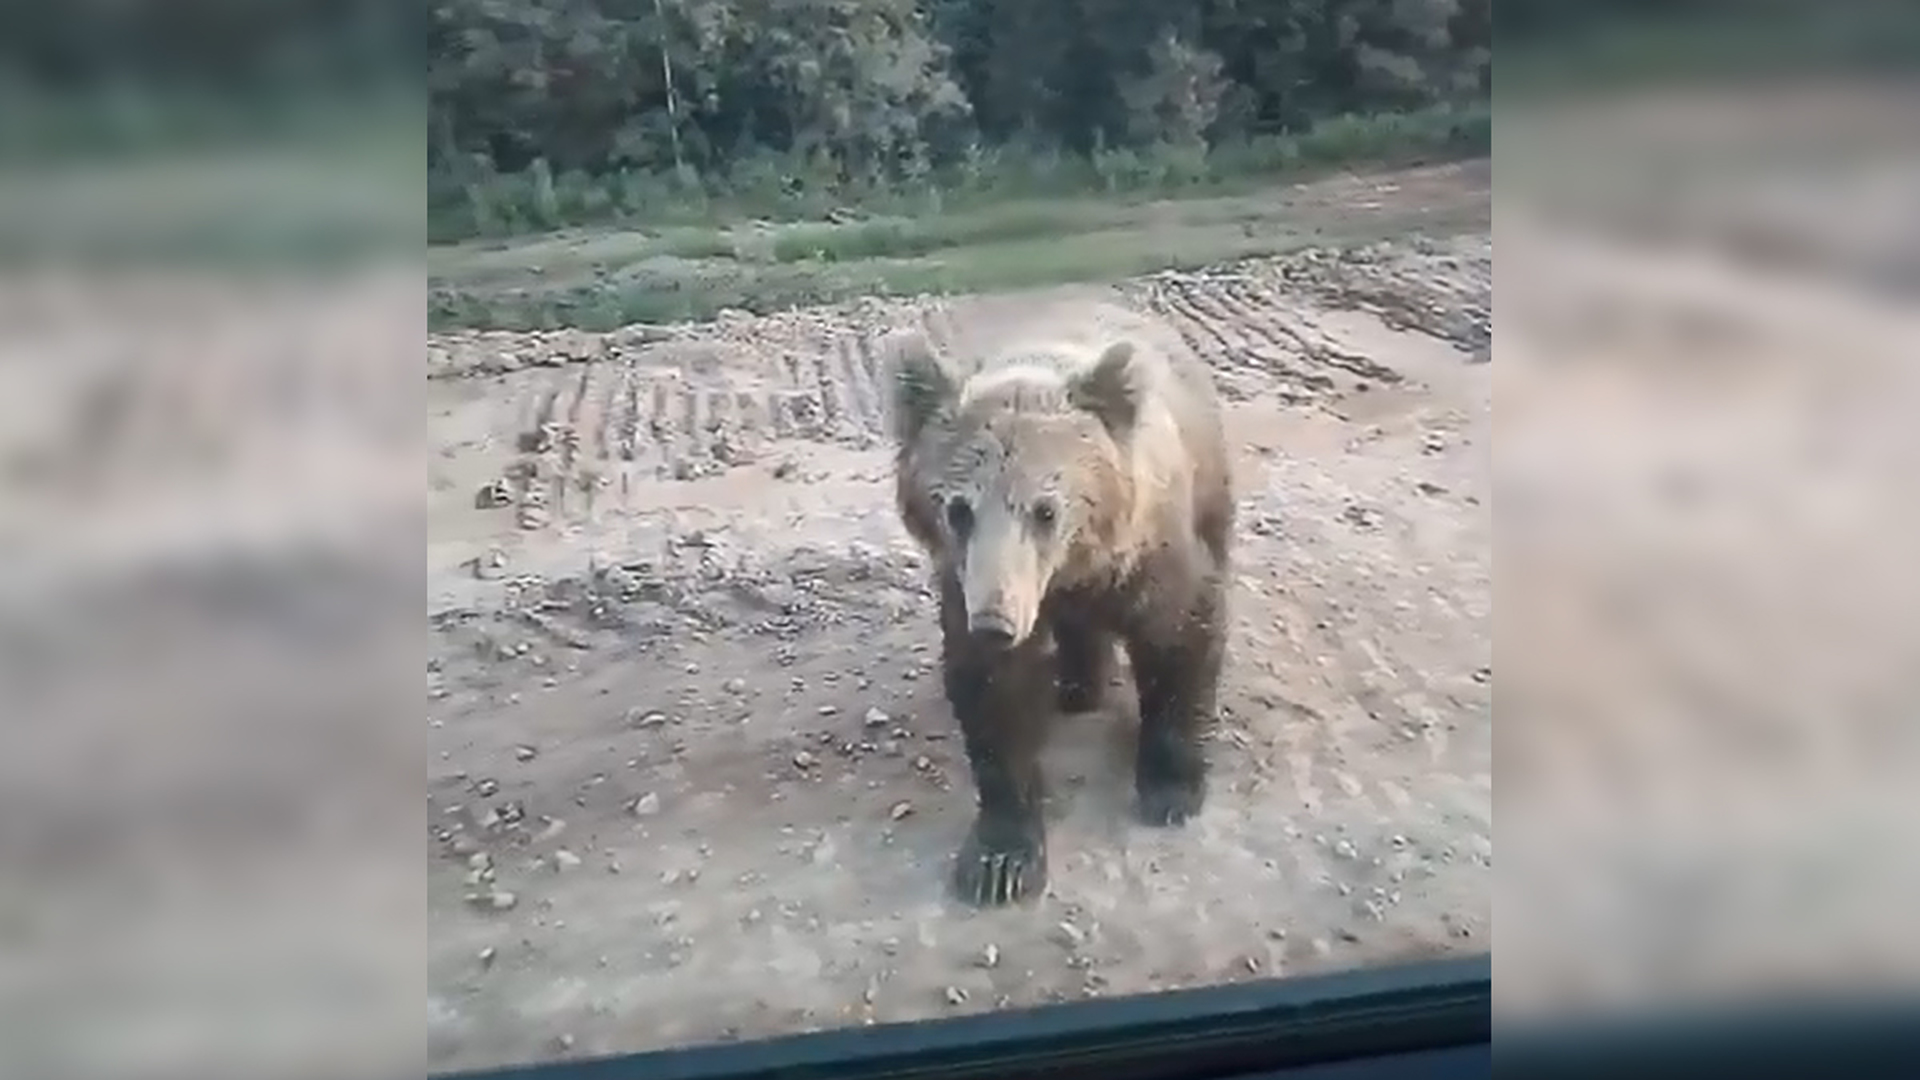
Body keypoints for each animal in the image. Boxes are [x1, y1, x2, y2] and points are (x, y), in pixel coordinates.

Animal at [879, 297, 1228, 903]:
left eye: (1045, 509)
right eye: (958, 509)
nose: (995, 622)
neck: (1071, 570)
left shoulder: (1152, 557)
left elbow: (1181, 639)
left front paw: (1170, 788)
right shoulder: (967, 584)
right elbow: (993, 702)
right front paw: (999, 859)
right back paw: (1076, 686)